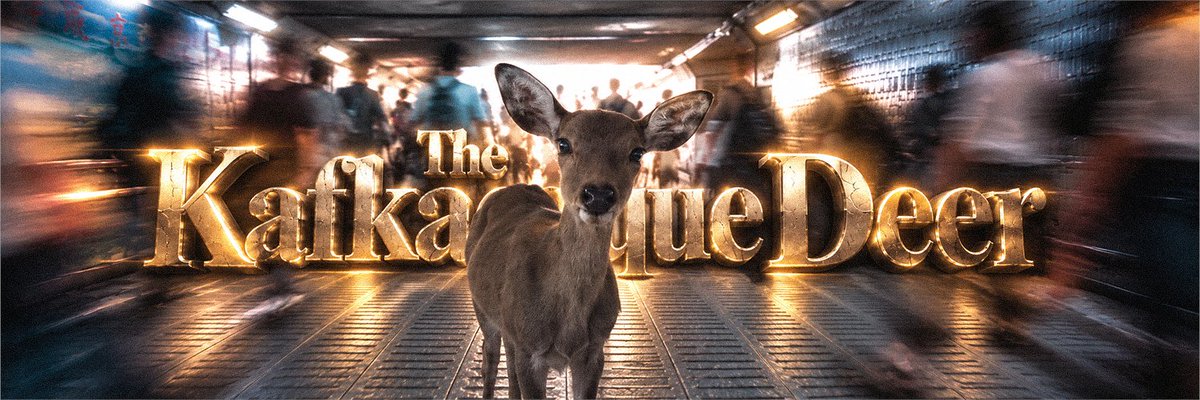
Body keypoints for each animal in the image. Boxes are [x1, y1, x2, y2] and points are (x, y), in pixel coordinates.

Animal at [466, 63, 712, 399]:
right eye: (563, 143)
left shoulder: (594, 350)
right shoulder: (530, 349)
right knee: (490, 359)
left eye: (637, 152)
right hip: (482, 308)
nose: (598, 195)